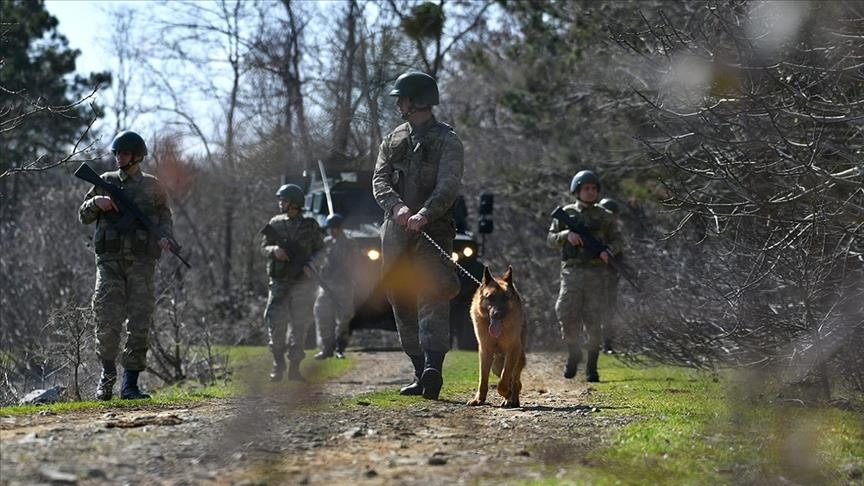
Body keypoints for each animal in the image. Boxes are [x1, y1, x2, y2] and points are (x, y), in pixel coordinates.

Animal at [470, 266, 524, 406]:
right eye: (490, 297)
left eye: (505, 298)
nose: (497, 314)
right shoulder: (485, 351)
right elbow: (483, 378)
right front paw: (479, 399)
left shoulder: (513, 351)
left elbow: (504, 379)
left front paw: (506, 393)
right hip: (496, 365)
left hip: (517, 358)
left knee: (515, 380)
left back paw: (512, 399)